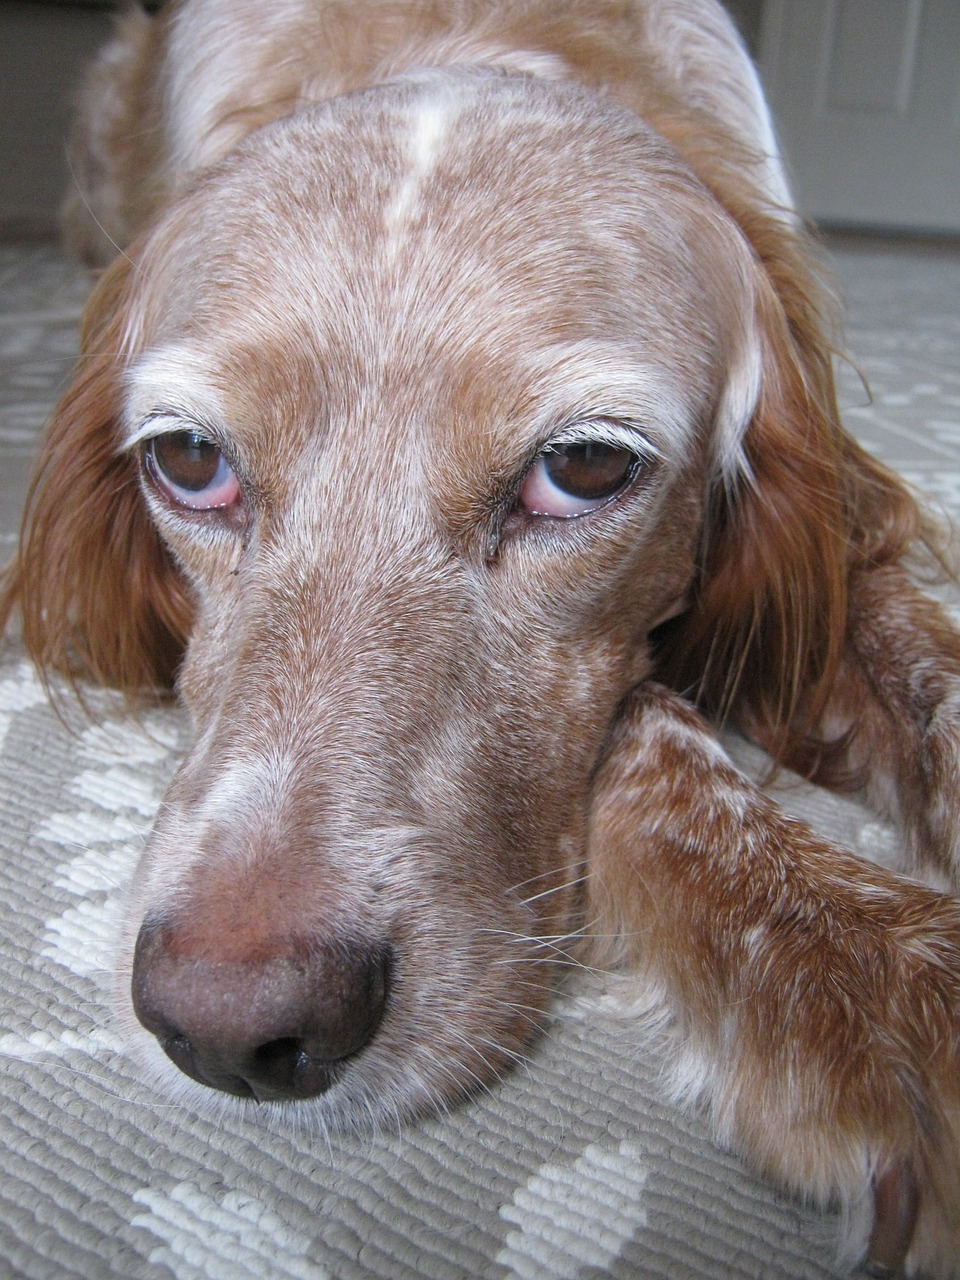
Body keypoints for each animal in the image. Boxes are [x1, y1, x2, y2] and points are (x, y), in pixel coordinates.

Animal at [1, 0, 960, 1274]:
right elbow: (651, 721)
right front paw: (855, 966)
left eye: (586, 467)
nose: (229, 1028)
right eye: (189, 459)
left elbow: (926, 676)